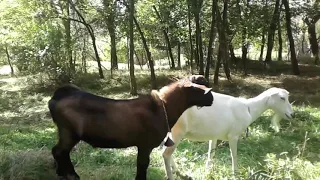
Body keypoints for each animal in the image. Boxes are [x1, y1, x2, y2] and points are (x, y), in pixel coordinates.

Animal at [47, 77, 214, 180]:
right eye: (203, 90)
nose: (212, 98)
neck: (162, 108)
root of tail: (57, 96)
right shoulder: (145, 145)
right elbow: (142, 165)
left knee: (59, 152)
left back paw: (62, 173)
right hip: (69, 133)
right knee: (59, 151)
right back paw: (71, 175)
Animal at [162, 87, 296, 179]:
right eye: (282, 98)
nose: (293, 114)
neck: (249, 108)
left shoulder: (214, 135)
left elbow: (211, 154)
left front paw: (208, 171)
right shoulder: (233, 135)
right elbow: (234, 155)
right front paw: (235, 173)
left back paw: (177, 171)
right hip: (177, 131)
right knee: (165, 154)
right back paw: (171, 175)